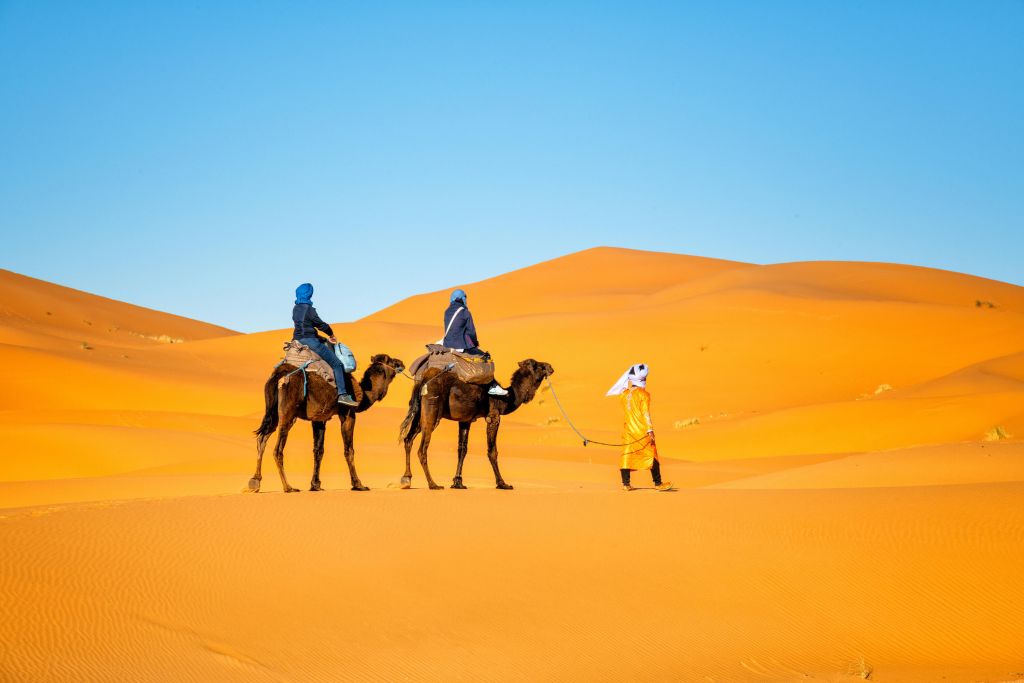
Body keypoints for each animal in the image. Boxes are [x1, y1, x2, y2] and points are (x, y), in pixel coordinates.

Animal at [246, 356, 403, 493]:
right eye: (392, 361)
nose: (401, 363)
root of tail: (278, 376)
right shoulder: (348, 413)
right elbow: (349, 450)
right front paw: (358, 484)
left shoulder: (319, 419)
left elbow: (318, 450)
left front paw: (315, 485)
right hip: (288, 412)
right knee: (277, 449)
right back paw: (288, 487)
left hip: (273, 413)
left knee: (262, 439)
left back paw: (255, 482)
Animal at [399, 358, 557, 491]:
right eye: (538, 365)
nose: (550, 367)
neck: (507, 398)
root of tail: (423, 380)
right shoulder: (493, 417)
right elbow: (492, 451)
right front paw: (502, 484)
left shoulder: (465, 420)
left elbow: (462, 450)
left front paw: (458, 483)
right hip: (432, 410)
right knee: (422, 449)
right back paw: (433, 484)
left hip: (418, 413)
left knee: (408, 440)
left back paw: (406, 479)